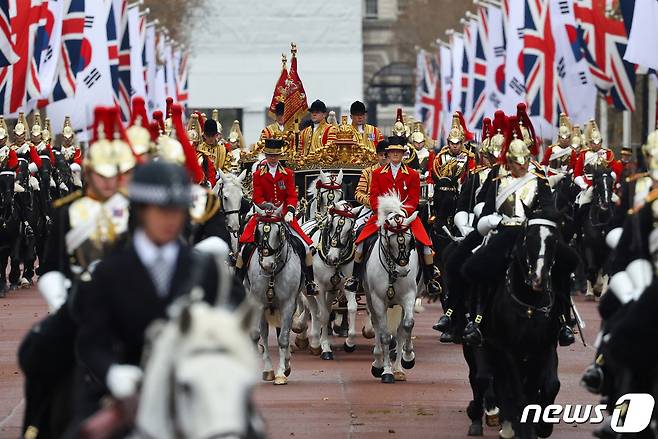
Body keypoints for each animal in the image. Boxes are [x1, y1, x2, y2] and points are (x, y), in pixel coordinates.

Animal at [245, 204, 302, 384]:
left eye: (279, 232)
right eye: (258, 231)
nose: (267, 264)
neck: (273, 274)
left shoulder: (288, 305)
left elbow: (283, 338)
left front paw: (281, 373)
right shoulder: (258, 303)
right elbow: (258, 335)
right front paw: (268, 369)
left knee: (284, 331)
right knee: (264, 333)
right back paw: (268, 369)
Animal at [362, 194, 418, 384]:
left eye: (410, 240)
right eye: (390, 241)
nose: (403, 271)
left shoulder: (409, 297)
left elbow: (407, 325)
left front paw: (408, 359)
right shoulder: (378, 301)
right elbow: (385, 335)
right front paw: (386, 371)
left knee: (400, 330)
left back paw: (399, 368)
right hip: (371, 300)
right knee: (377, 326)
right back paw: (378, 363)